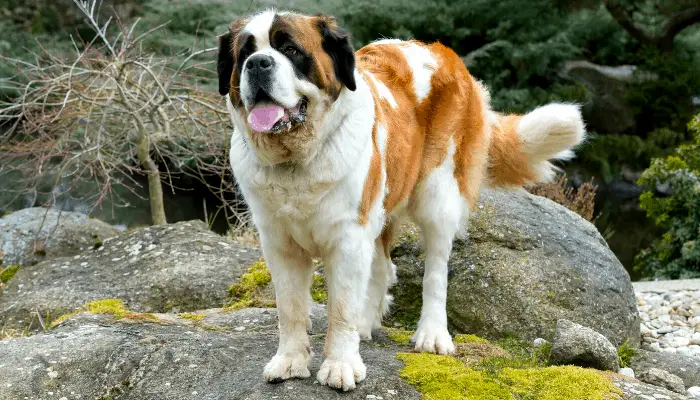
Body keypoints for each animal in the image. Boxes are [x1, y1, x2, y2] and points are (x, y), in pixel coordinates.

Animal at [215, 8, 584, 390]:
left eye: (290, 50)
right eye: (245, 53)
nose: (258, 64)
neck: (296, 160)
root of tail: (441, 51)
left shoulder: (348, 238)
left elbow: (341, 308)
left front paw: (340, 365)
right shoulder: (280, 243)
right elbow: (289, 308)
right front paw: (290, 361)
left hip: (437, 195)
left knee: (435, 271)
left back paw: (432, 334)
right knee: (382, 267)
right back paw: (367, 323)